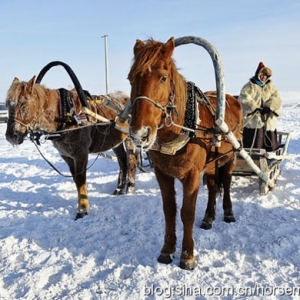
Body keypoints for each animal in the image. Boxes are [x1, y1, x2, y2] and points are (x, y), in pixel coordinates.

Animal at [4, 76, 138, 219]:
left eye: (23, 104)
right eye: (7, 105)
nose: (11, 136)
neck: (65, 116)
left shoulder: (80, 154)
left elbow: (80, 180)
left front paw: (82, 209)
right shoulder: (67, 155)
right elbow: (75, 179)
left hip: (130, 138)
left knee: (131, 160)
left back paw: (130, 187)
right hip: (115, 142)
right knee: (122, 161)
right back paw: (119, 188)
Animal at [127, 37, 244, 270]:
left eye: (163, 77)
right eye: (130, 79)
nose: (140, 134)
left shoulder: (191, 176)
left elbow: (187, 213)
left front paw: (187, 255)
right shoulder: (162, 174)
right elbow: (170, 210)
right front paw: (167, 249)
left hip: (231, 157)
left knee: (226, 182)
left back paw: (228, 212)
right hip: (211, 163)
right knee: (213, 186)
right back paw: (208, 217)